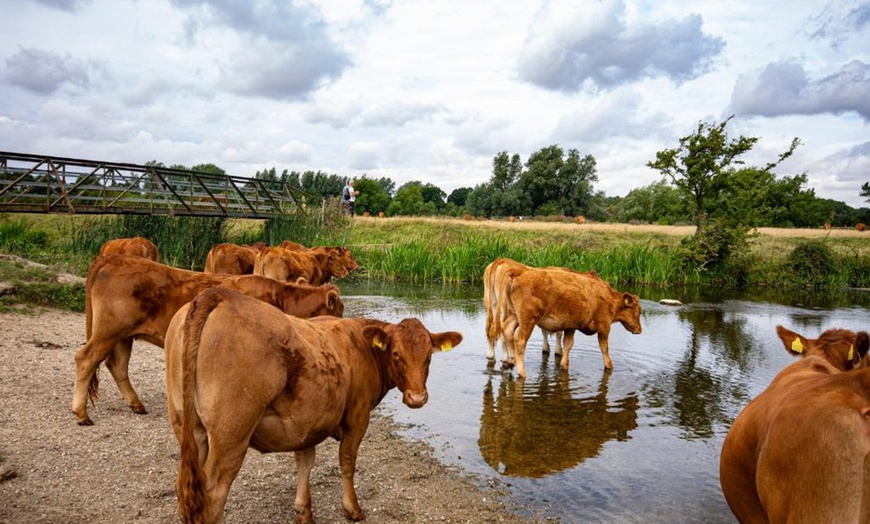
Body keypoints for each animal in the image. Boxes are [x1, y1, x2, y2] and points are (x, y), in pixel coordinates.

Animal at [72, 256, 344, 426]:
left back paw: (136, 404)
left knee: (117, 366)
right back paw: (81, 414)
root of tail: (114, 259)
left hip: (123, 335)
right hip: (109, 330)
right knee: (85, 359)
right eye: (339, 310)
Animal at [165, 286, 464, 524]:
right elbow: (347, 461)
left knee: (188, 490)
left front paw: (303, 511)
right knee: (213, 494)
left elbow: (305, 461)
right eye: (396, 355)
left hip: (187, 426)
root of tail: (220, 294)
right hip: (231, 432)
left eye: (428, 357)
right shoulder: (358, 415)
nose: (417, 398)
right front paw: (352, 509)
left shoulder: (307, 419)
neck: (361, 345)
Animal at [498, 266, 640, 376]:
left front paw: (564, 364)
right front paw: (609, 365)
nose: (639, 330)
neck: (609, 297)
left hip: (514, 316)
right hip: (528, 321)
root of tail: (519, 273)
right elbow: (604, 347)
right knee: (520, 340)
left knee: (507, 331)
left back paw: (511, 361)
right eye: (638, 311)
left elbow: (568, 344)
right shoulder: (604, 326)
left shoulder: (571, 326)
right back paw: (522, 372)